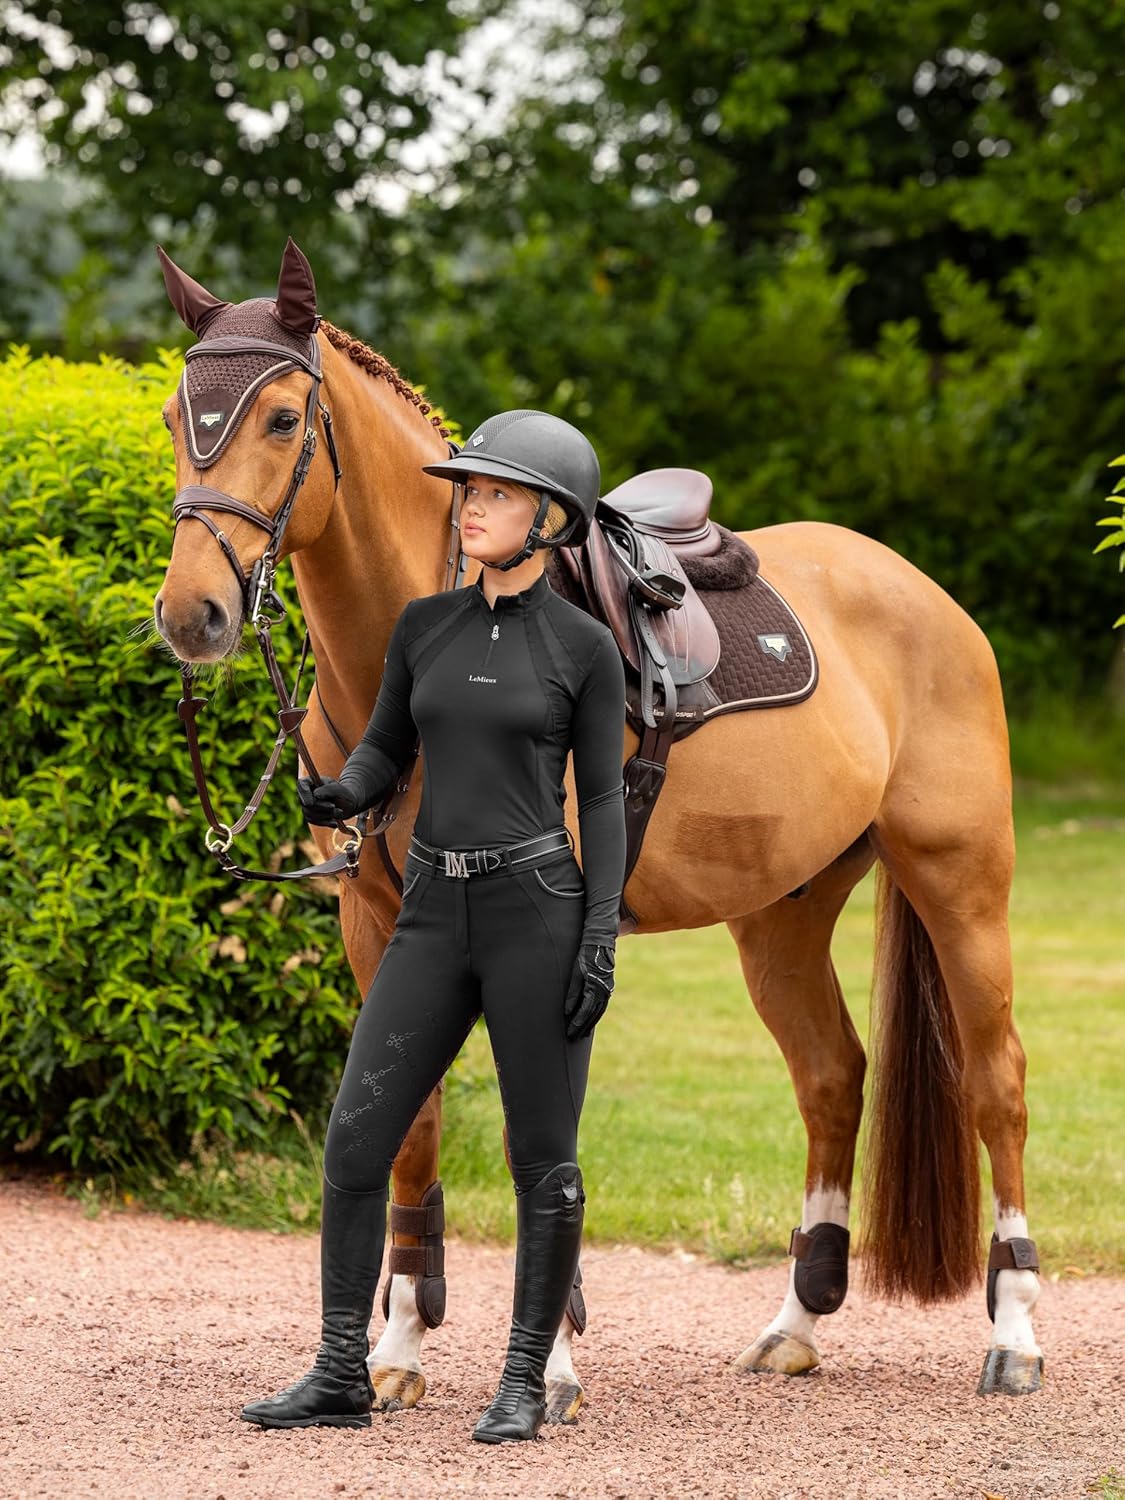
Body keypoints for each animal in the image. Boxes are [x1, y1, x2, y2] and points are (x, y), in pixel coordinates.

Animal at [152, 240, 1043, 1416]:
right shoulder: (380, 923)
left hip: (960, 880)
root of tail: (926, 597)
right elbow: (409, 1122)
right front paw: (398, 1349)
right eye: (176, 414)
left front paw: (551, 1365)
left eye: (285, 419)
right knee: (831, 1075)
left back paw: (1017, 1334)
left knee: (997, 1081)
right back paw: (795, 1322)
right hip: (782, 914)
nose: (192, 614)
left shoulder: (549, 937)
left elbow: (537, 1128)